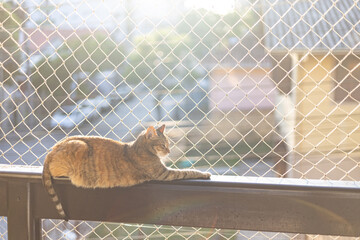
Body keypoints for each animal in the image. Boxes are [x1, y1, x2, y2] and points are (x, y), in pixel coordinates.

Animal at [42, 124, 211, 220]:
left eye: (168, 144)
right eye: (163, 145)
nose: (169, 151)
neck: (139, 148)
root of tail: (52, 150)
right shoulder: (164, 173)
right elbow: (188, 171)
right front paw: (204, 173)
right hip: (79, 146)